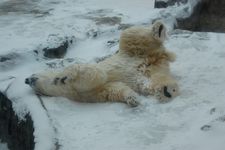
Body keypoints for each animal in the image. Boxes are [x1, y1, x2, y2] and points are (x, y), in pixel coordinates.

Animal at [25, 20, 179, 106]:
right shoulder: (90, 94)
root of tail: (158, 56)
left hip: (132, 51)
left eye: (33, 76)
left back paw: (159, 29)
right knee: (151, 79)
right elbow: (114, 88)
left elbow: (94, 73)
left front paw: (64, 76)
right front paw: (132, 99)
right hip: (149, 63)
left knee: (133, 34)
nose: (27, 79)